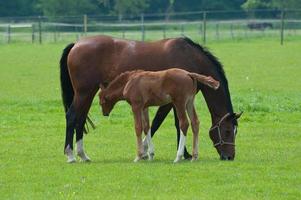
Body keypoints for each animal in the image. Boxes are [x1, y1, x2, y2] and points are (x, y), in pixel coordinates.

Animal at [59, 35, 243, 163]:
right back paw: (70, 155)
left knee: (80, 119)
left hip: (88, 93)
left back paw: (83, 155)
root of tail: (76, 44)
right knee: (72, 117)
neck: (190, 58)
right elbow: (159, 124)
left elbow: (165, 124)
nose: (229, 157)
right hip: (84, 93)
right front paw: (152, 152)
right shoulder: (170, 102)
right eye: (227, 131)